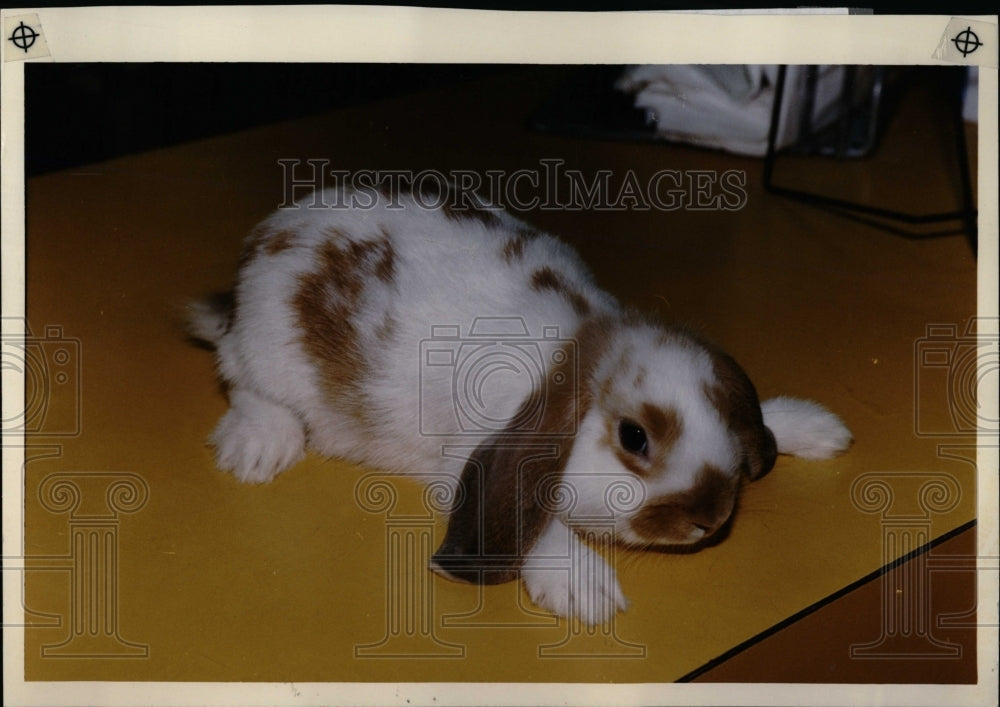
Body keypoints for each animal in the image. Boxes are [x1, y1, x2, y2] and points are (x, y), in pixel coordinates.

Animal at [188, 183, 852, 624]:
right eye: (634, 438)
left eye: (722, 407)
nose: (710, 519)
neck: (575, 346)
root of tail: (267, 242)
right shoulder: (465, 459)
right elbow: (541, 523)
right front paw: (587, 588)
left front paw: (815, 427)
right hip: (266, 353)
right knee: (242, 381)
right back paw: (257, 448)